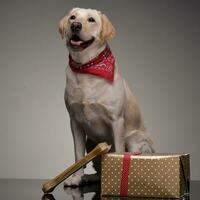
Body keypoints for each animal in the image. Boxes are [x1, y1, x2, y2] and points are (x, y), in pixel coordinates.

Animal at [57, 7, 155, 186]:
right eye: (72, 17)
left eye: (91, 20)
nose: (75, 25)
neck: (86, 67)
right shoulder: (74, 121)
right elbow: (78, 156)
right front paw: (76, 178)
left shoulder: (116, 121)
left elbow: (118, 150)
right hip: (91, 142)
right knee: (98, 167)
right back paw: (90, 178)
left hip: (135, 140)